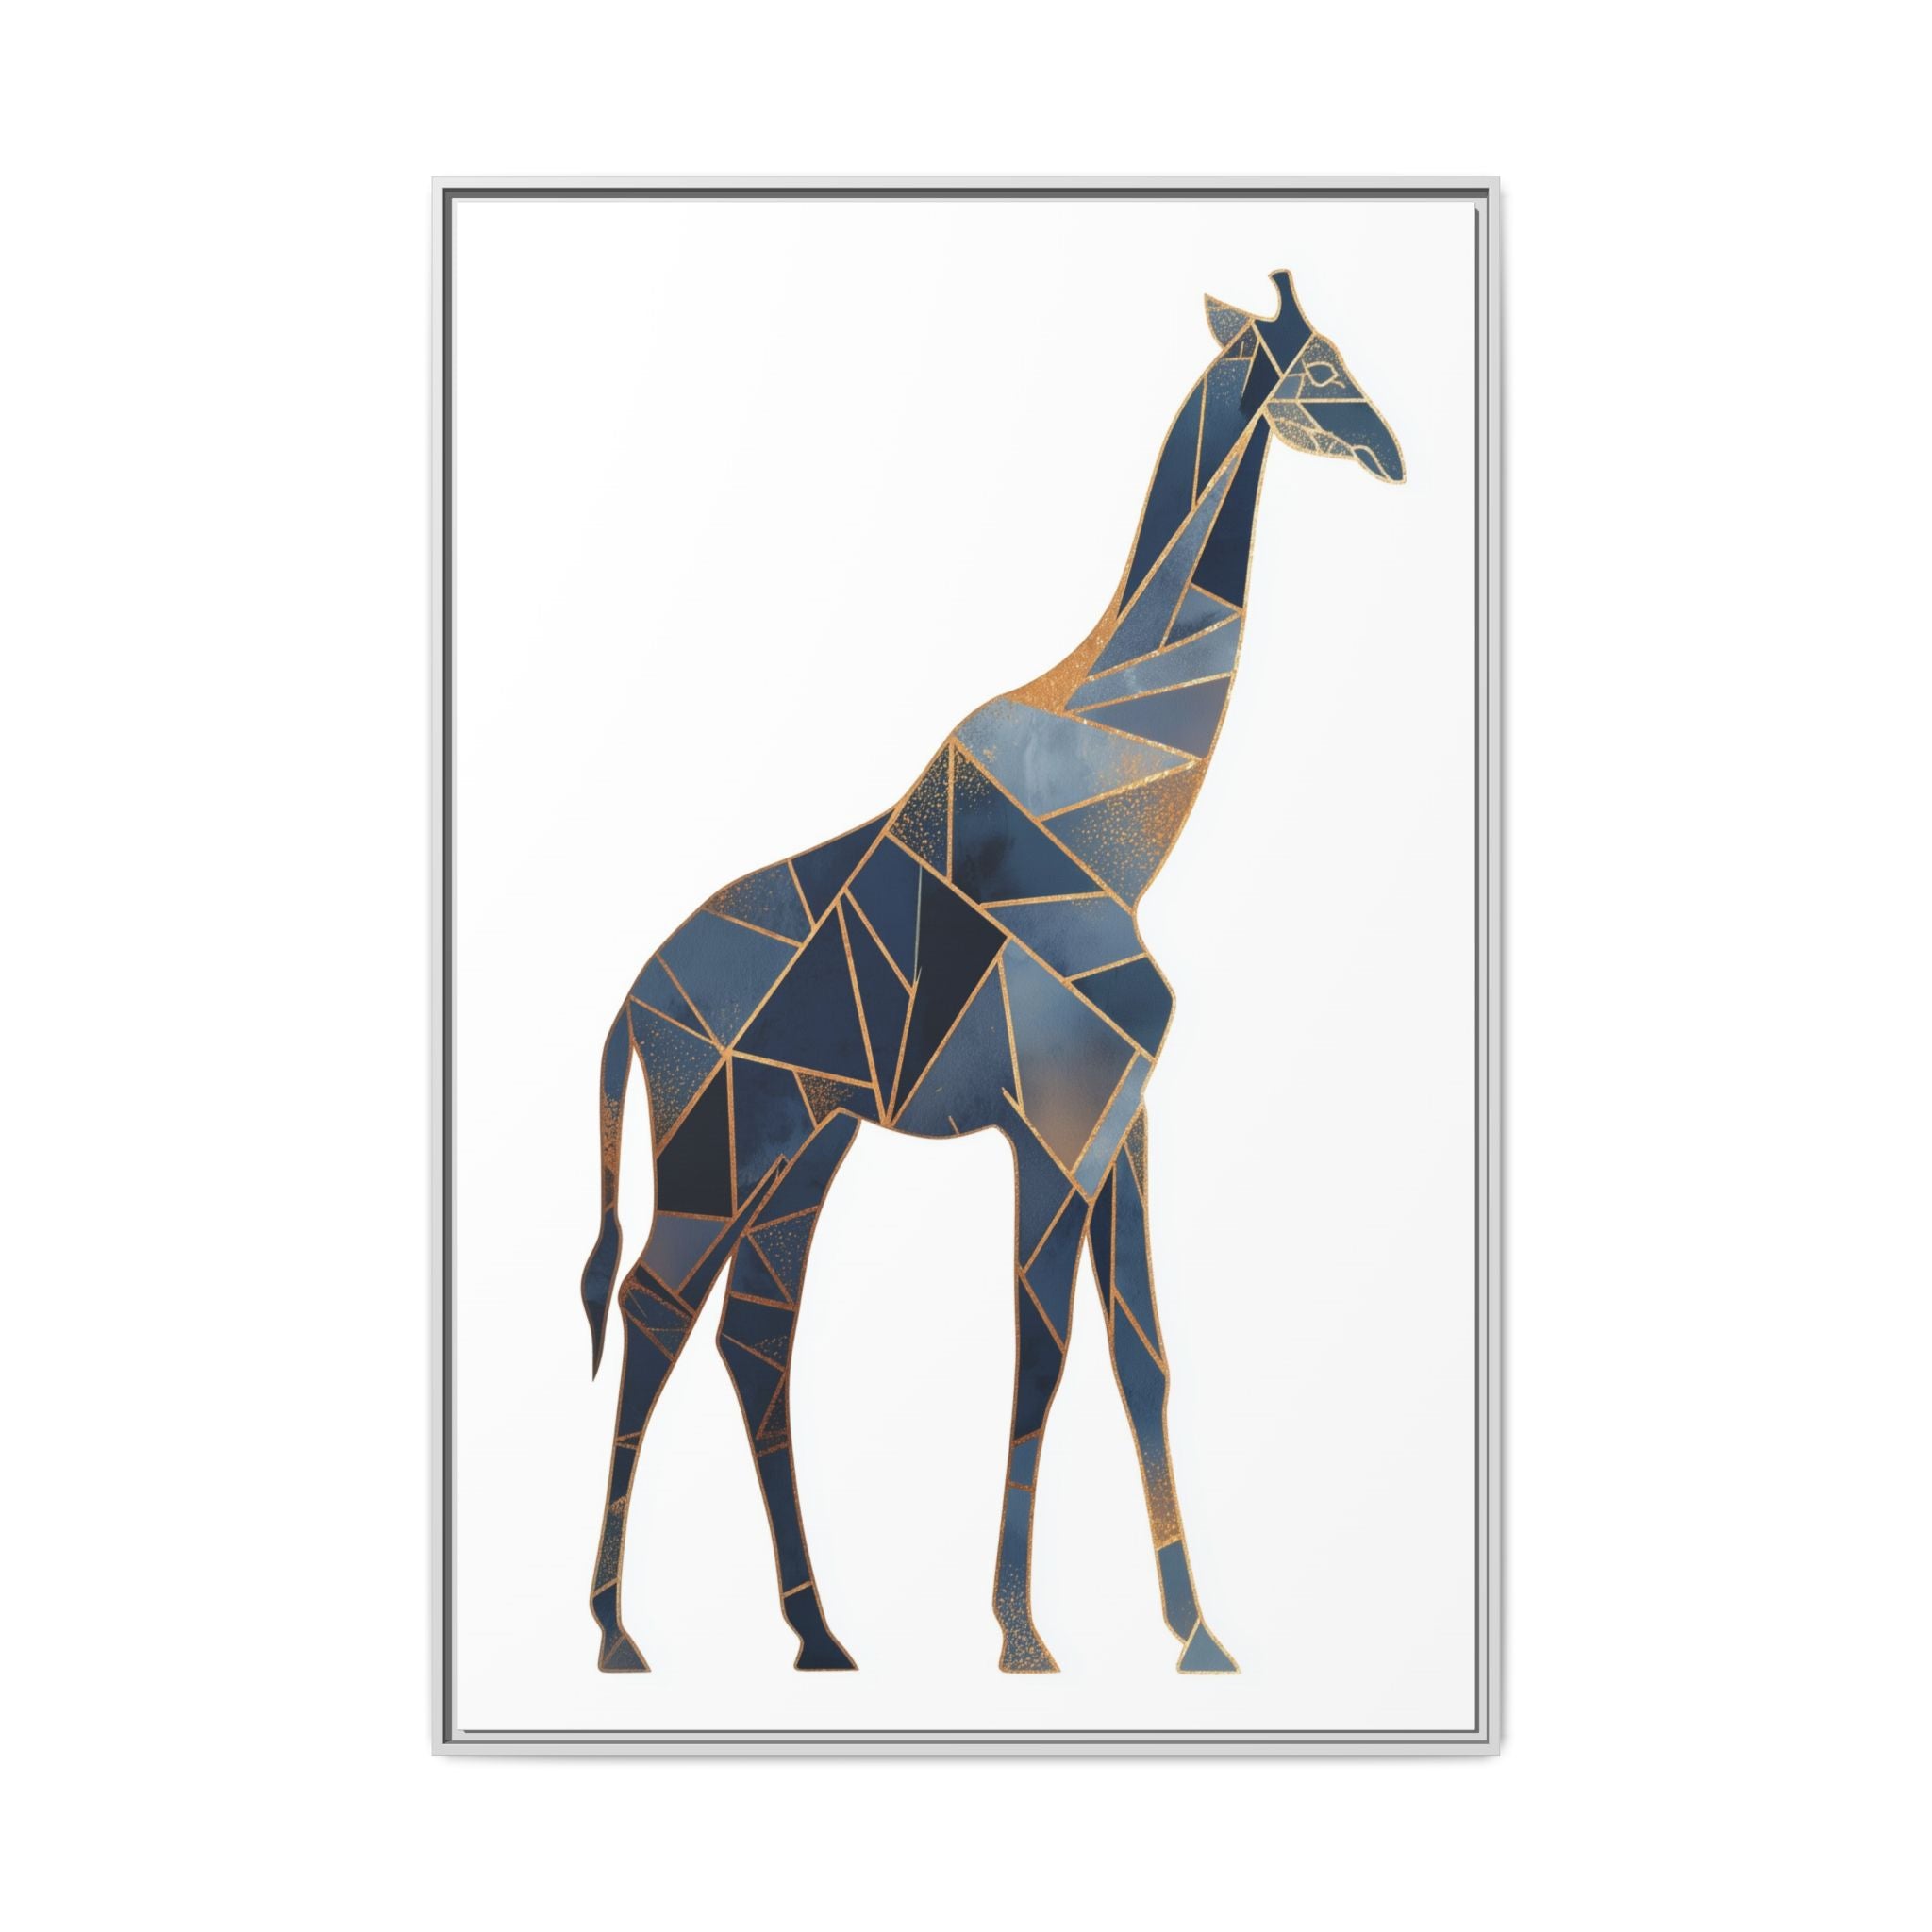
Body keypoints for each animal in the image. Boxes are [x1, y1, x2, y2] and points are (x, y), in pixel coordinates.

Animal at [579, 269, 1404, 1676]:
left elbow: (1142, 1355)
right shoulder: (1054, 1122)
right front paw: (1022, 1634)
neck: (1123, 821)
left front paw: (1196, 1635)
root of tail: (632, 1006)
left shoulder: (1121, 1119)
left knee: (754, 1333)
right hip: (714, 1149)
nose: (1391, 451)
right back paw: (617, 1633)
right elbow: (1044, 1352)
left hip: (802, 1150)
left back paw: (818, 1633)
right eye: (1317, 366)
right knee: (651, 1312)